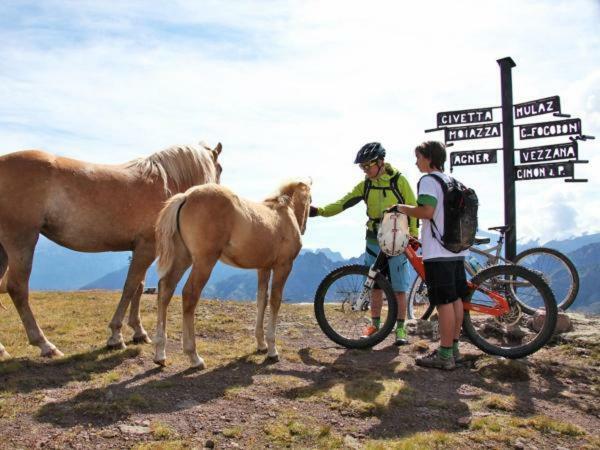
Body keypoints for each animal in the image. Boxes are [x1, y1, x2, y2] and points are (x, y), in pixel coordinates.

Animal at [0, 142, 223, 360]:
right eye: (219, 168)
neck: (164, 183)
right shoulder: (147, 248)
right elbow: (130, 287)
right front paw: (116, 336)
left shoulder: (141, 249)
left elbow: (139, 286)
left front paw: (138, 332)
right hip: (22, 241)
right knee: (17, 288)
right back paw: (45, 344)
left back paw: (3, 349)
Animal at [152, 179, 312, 370]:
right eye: (310, 198)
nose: (304, 228)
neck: (283, 214)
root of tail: (186, 196)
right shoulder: (283, 266)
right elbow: (275, 301)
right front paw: (272, 349)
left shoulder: (263, 268)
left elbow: (261, 300)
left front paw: (261, 345)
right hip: (204, 261)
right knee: (189, 294)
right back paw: (194, 357)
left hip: (183, 257)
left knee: (165, 289)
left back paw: (160, 354)